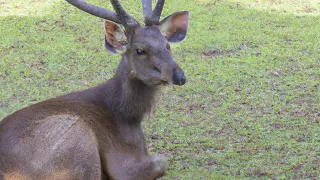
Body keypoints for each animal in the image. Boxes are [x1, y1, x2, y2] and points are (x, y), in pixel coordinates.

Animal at [0, 0, 189, 179]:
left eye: (167, 45)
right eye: (140, 50)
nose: (179, 76)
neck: (129, 117)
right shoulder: (123, 166)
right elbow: (162, 161)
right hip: (77, 136)